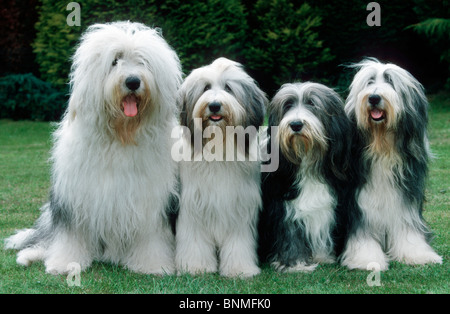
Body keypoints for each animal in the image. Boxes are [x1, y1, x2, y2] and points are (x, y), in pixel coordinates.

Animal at [3, 21, 182, 274]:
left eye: (142, 62)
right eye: (115, 61)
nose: (133, 81)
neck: (121, 135)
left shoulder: (151, 201)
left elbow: (151, 236)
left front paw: (152, 265)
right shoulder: (76, 196)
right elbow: (70, 235)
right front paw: (64, 263)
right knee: (46, 238)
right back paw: (29, 255)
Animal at [175, 57, 268, 276]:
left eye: (228, 88)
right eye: (206, 87)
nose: (215, 105)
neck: (218, 145)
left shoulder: (239, 206)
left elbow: (238, 242)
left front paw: (240, 269)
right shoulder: (193, 205)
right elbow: (194, 240)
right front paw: (195, 267)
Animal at [258, 82, 354, 272]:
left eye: (312, 103)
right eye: (288, 105)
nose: (295, 124)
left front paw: (323, 257)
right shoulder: (284, 206)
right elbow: (290, 234)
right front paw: (296, 264)